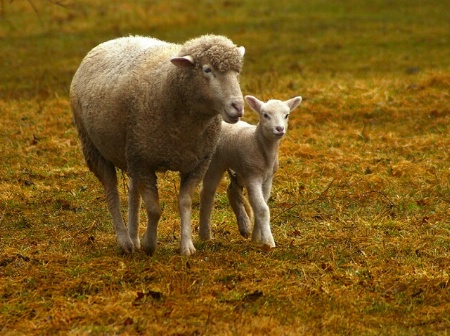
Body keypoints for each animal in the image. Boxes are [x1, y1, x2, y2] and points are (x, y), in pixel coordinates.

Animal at [71, 34, 246, 255]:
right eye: (207, 70)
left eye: (237, 72)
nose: (238, 107)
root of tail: (114, 39)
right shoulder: (144, 162)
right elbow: (154, 209)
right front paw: (149, 244)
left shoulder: (196, 164)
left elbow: (185, 202)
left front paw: (186, 246)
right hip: (96, 148)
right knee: (112, 192)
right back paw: (125, 241)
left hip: (131, 151)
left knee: (132, 193)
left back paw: (134, 238)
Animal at [200, 94, 302, 247]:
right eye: (265, 115)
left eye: (286, 115)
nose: (279, 129)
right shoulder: (253, 176)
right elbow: (262, 209)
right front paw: (269, 242)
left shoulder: (267, 178)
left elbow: (259, 204)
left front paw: (256, 238)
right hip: (215, 163)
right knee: (207, 194)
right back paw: (205, 235)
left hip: (241, 170)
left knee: (232, 190)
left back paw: (244, 226)